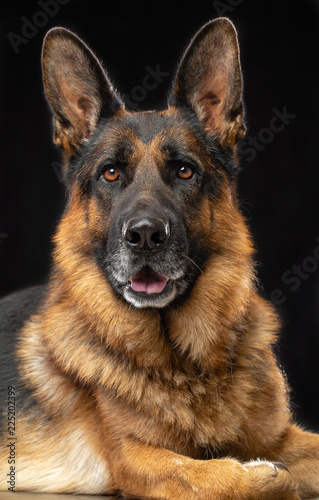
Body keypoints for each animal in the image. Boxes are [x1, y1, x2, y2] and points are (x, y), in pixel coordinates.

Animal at [0, 17, 319, 498]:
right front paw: (263, 475)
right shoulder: (135, 459)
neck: (185, 363)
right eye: (111, 173)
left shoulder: (282, 436)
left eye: (185, 171)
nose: (146, 236)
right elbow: (217, 475)